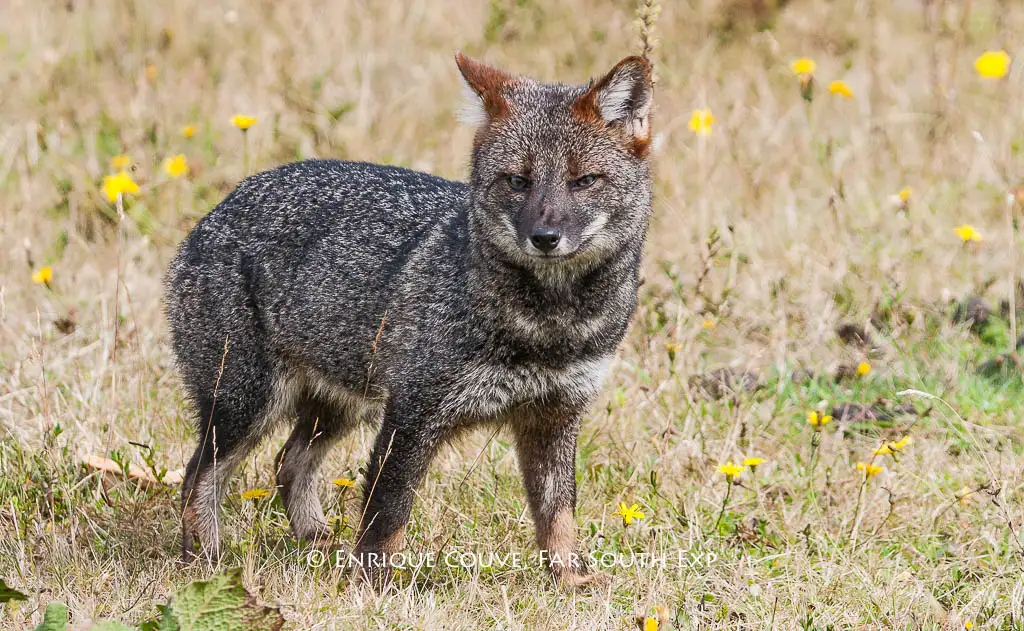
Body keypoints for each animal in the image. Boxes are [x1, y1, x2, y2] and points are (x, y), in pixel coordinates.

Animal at [163, 50, 651, 585]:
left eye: (584, 181)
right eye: (518, 181)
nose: (544, 238)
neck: (549, 327)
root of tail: (218, 207)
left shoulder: (555, 414)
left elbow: (559, 515)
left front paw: (573, 582)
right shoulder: (414, 412)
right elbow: (388, 513)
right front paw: (371, 588)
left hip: (342, 404)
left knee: (288, 463)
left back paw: (315, 542)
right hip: (248, 404)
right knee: (197, 476)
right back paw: (205, 563)